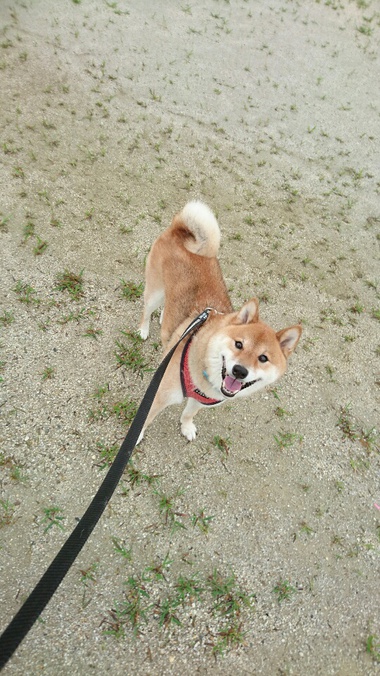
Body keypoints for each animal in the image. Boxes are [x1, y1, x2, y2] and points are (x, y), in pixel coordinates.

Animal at [138, 201, 302, 440]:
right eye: (239, 344)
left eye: (263, 358)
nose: (240, 371)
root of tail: (180, 231)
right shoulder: (159, 395)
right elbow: (145, 420)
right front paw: (137, 436)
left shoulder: (202, 401)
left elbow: (189, 413)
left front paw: (187, 427)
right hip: (155, 291)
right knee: (146, 310)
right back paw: (143, 329)